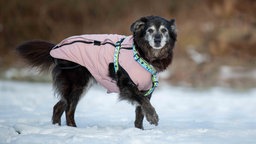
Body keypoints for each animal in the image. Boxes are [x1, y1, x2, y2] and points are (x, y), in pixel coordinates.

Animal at [15, 15, 176, 129]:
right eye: (150, 30)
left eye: (164, 30)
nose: (157, 40)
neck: (142, 54)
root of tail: (56, 47)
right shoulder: (127, 84)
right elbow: (142, 101)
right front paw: (153, 116)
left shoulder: (147, 88)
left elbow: (140, 111)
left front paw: (139, 130)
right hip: (78, 83)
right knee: (69, 110)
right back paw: (73, 128)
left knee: (58, 107)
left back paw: (58, 129)